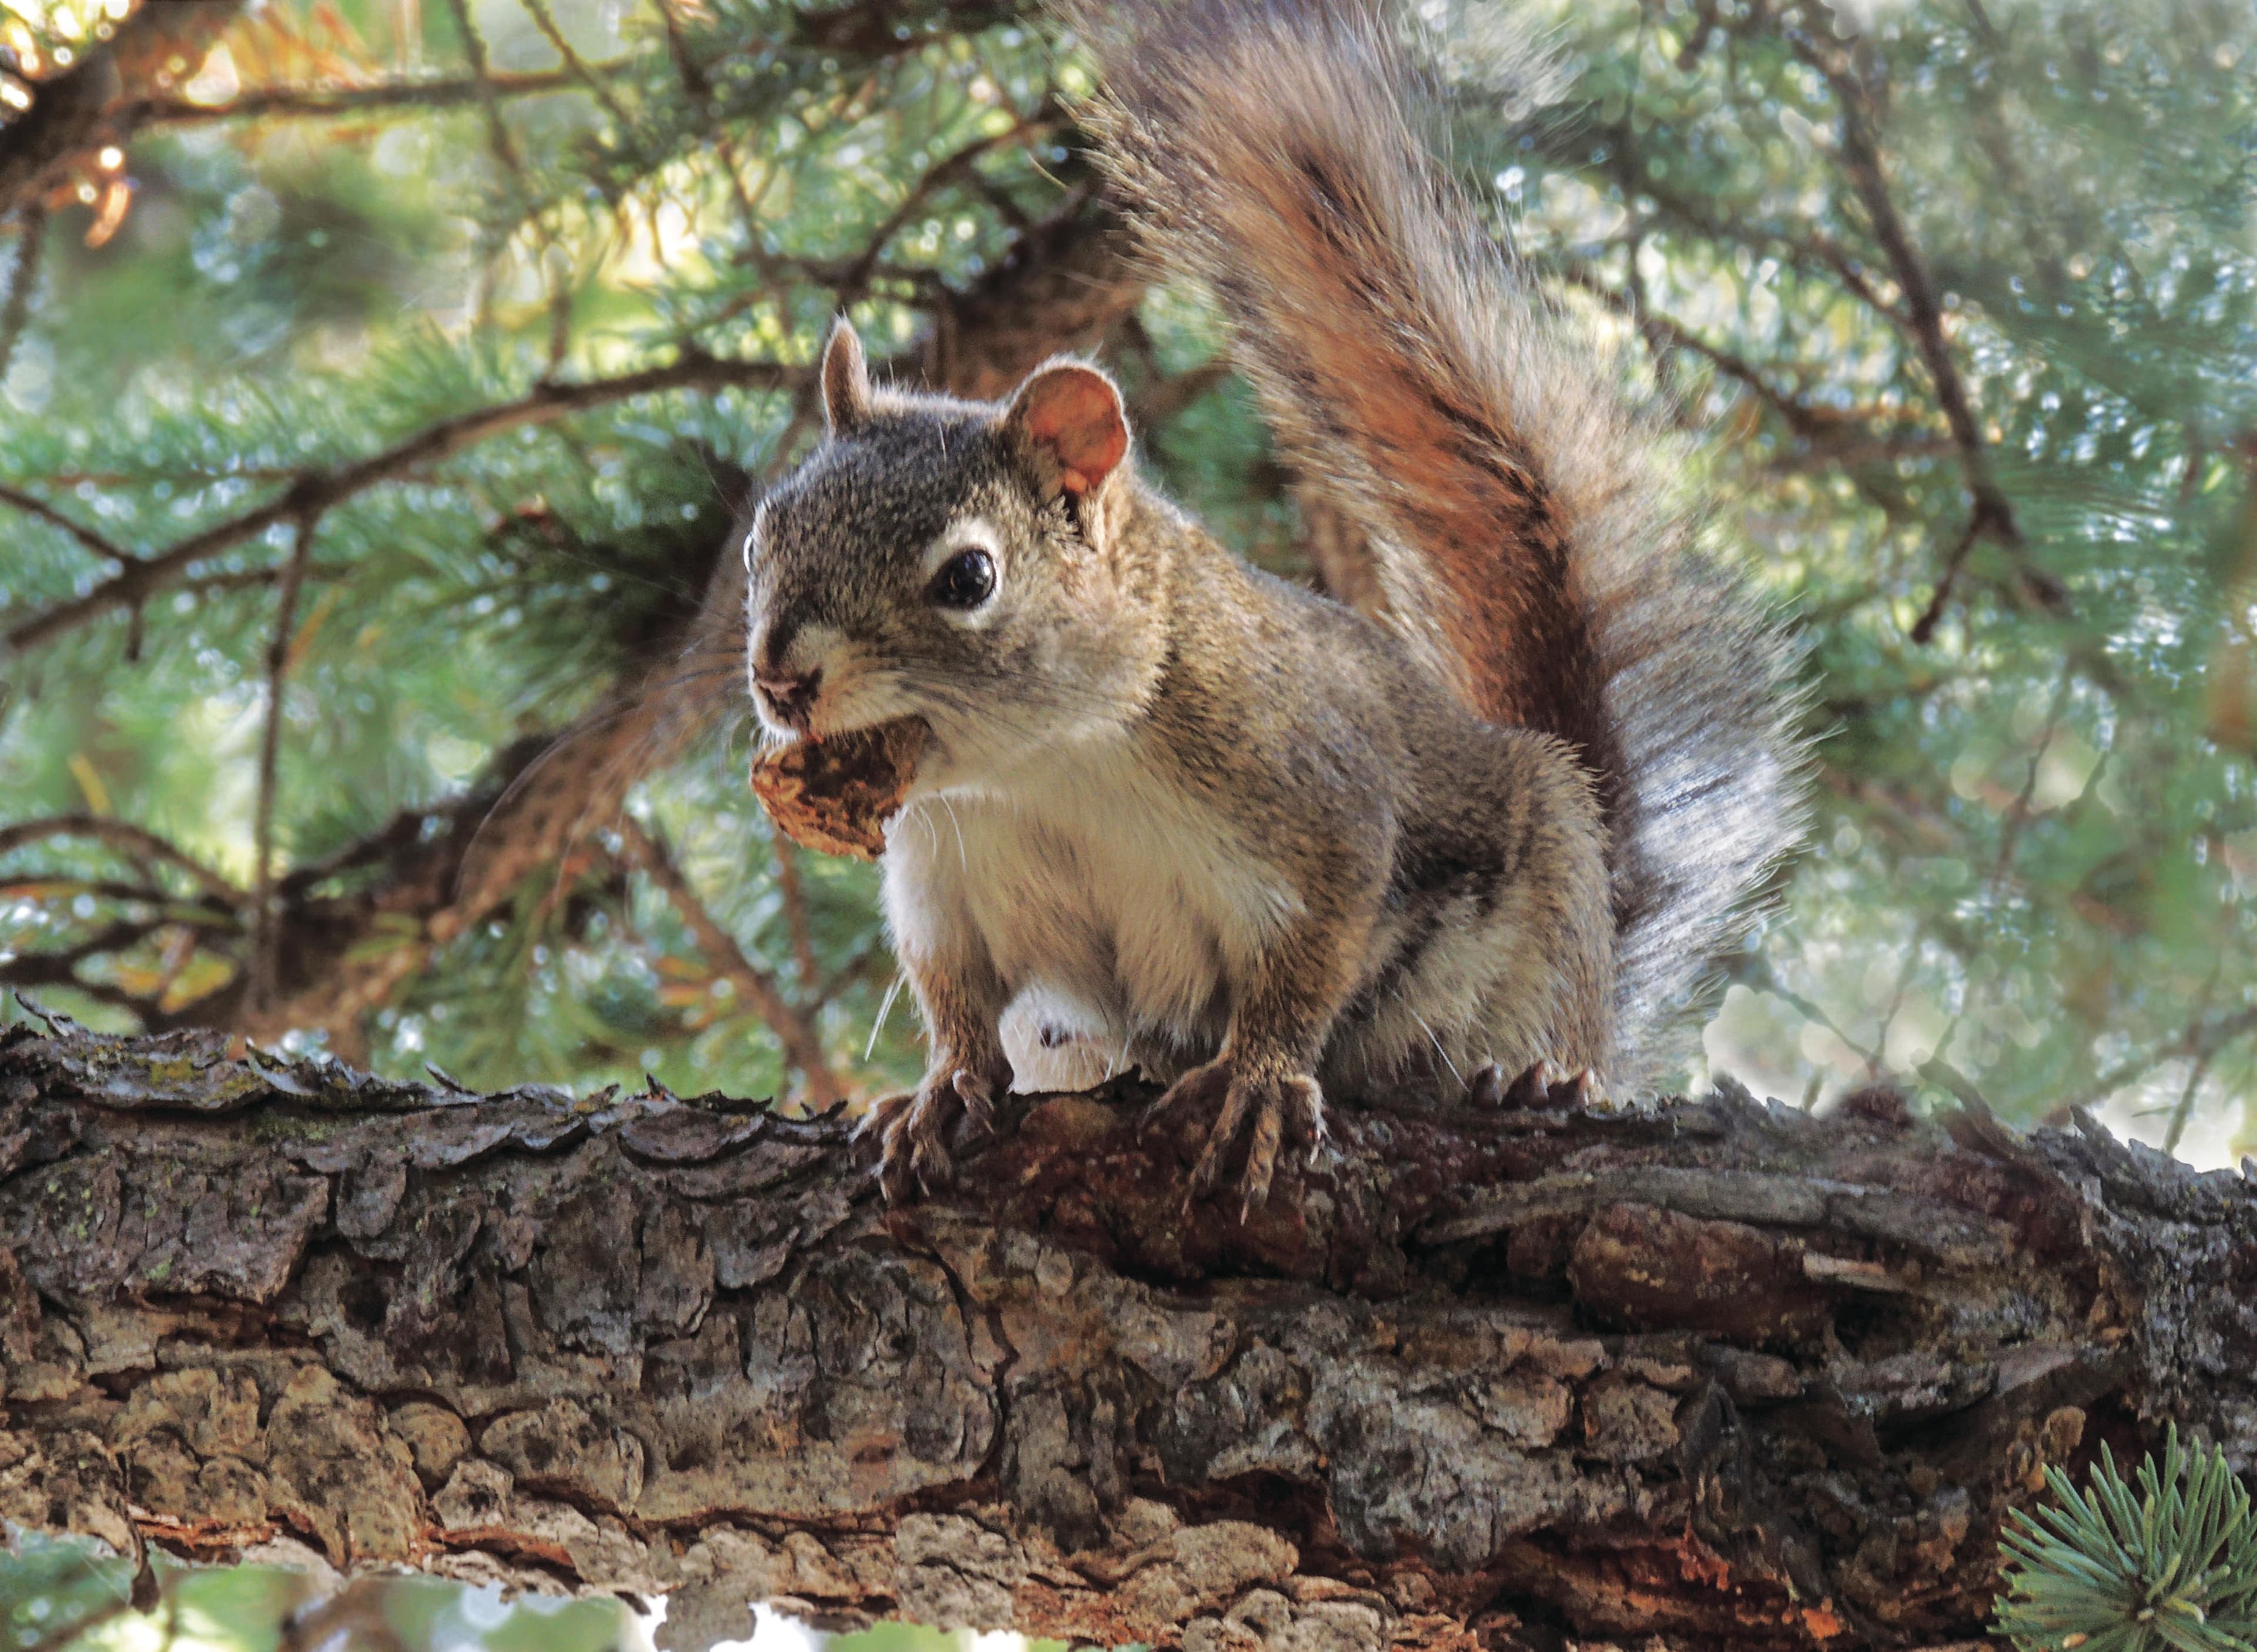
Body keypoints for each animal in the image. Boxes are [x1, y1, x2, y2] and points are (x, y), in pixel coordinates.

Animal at [741, 0, 1807, 1209]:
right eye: (763, 535)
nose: (779, 679)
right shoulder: (946, 883)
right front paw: (940, 1090)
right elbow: (956, 999)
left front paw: (1255, 1081)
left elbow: (1304, 968)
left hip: (1540, 919)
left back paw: (1539, 1078)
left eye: (969, 577)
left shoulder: (1315, 805)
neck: (1040, 771)